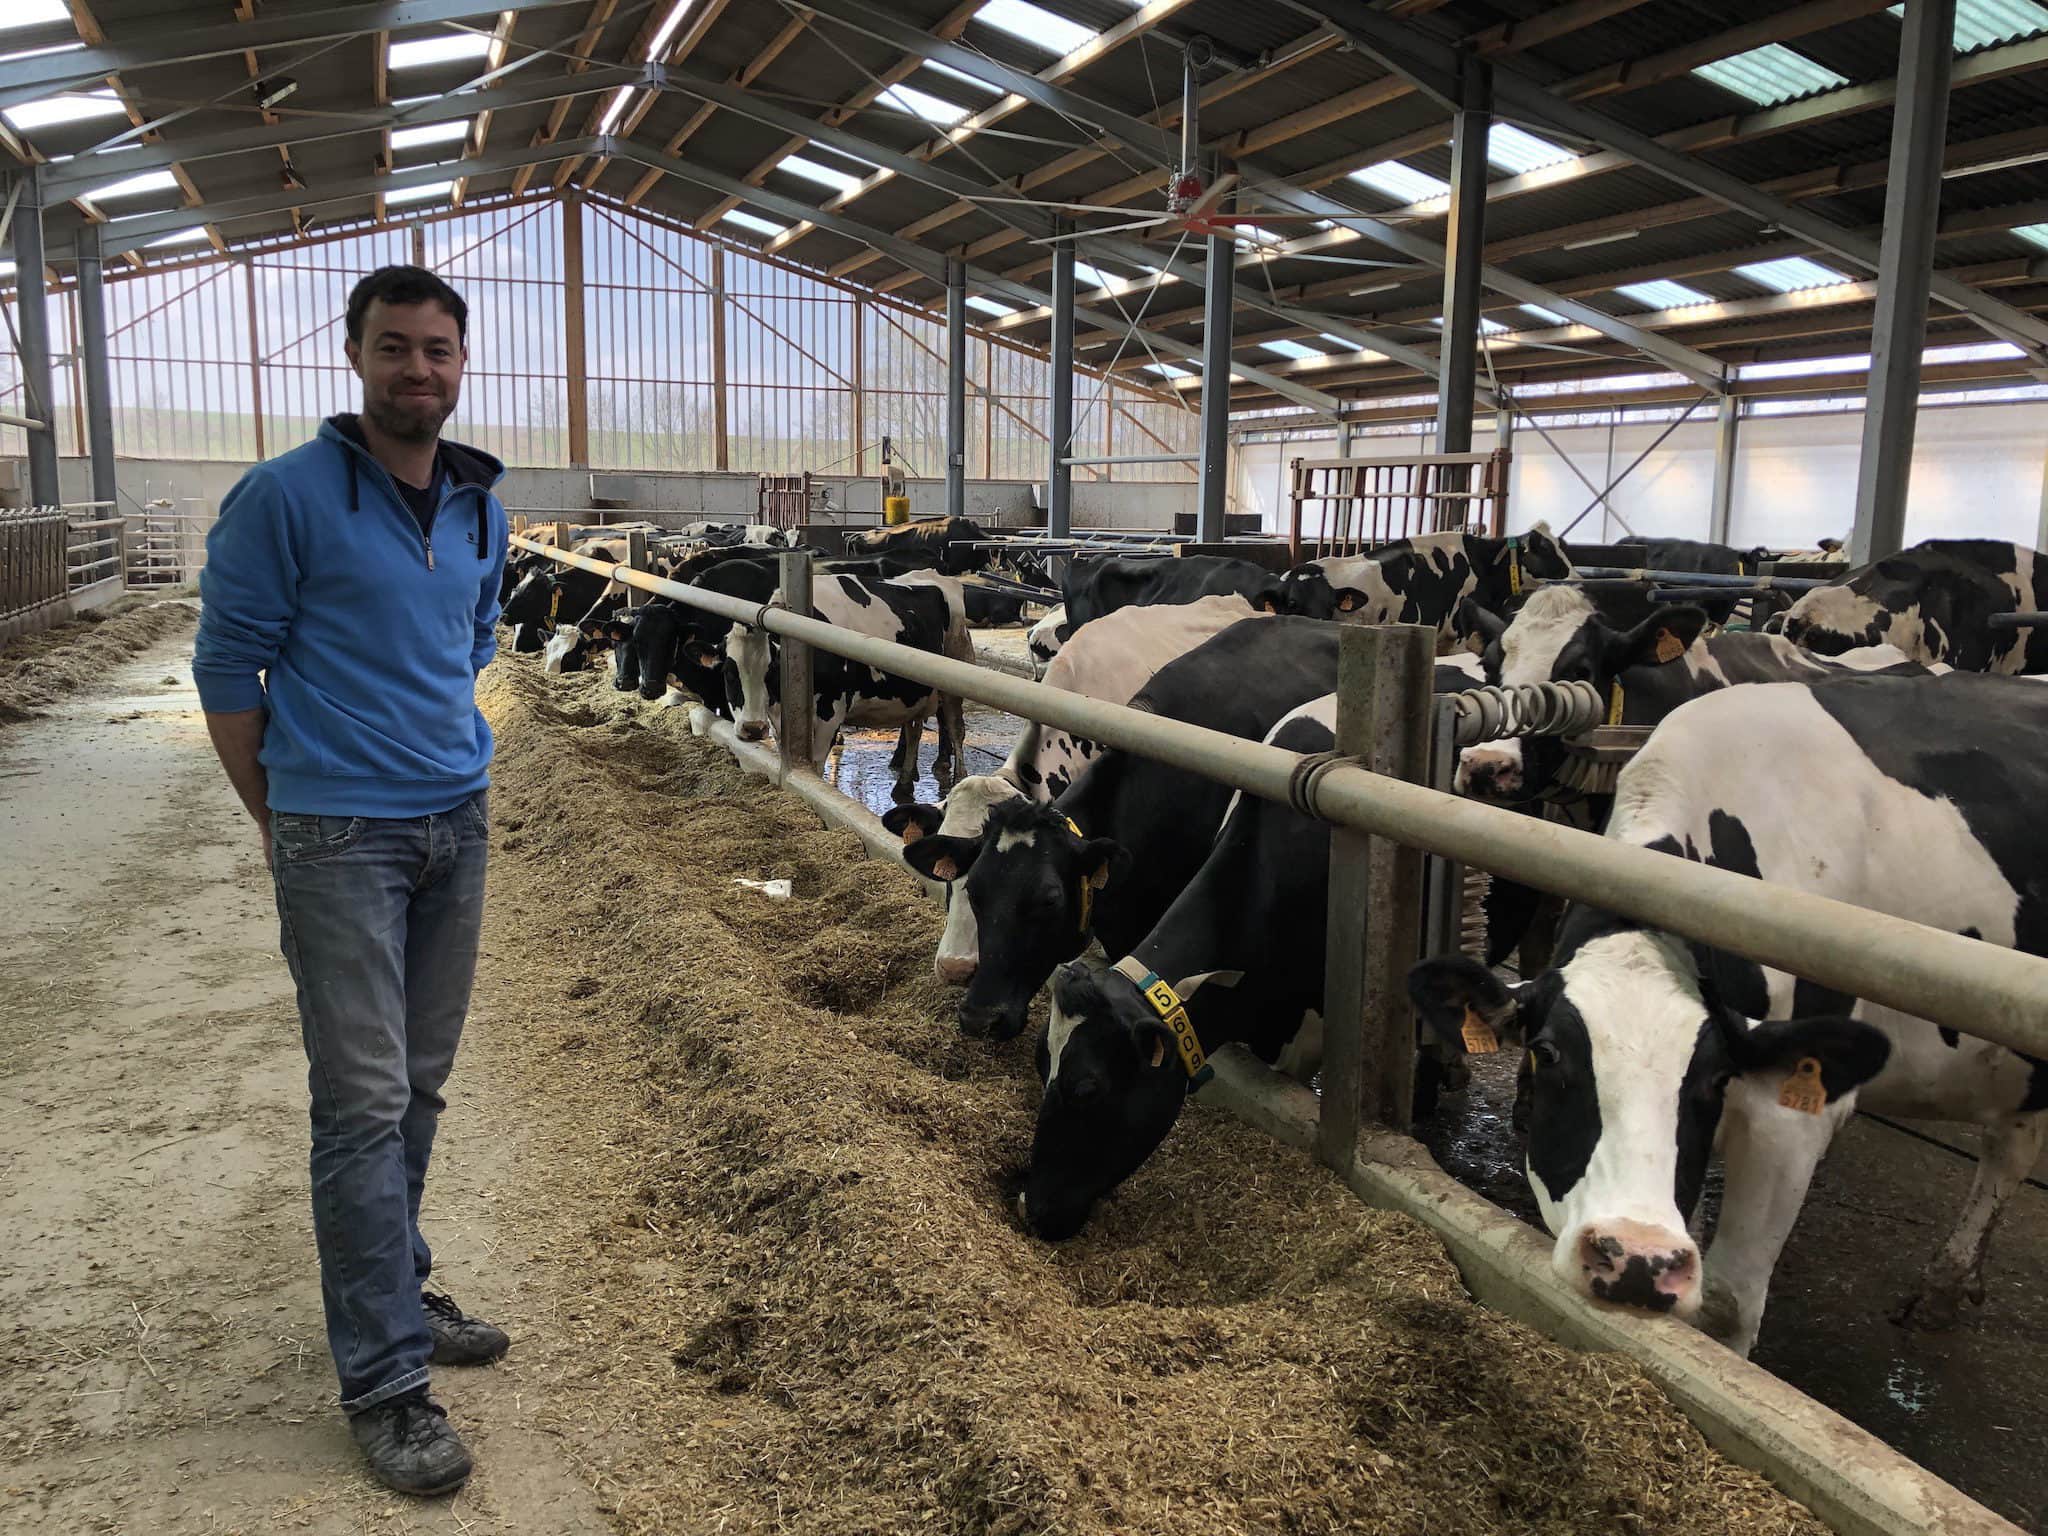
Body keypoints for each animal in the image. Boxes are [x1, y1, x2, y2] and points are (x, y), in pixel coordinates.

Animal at [722, 572, 973, 800]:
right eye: (729, 674)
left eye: (771, 670)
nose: (753, 728)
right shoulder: (778, 720)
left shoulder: (831, 713)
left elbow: (815, 766)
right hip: (914, 694)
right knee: (914, 731)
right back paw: (903, 785)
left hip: (954, 678)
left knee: (956, 728)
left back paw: (958, 779)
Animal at [1408, 671, 2048, 1354]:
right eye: (1546, 1052)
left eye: (1716, 1076)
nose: (1639, 1260)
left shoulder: (1790, 1119)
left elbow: (1726, 1302)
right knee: (2013, 1142)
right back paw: (1948, 1284)